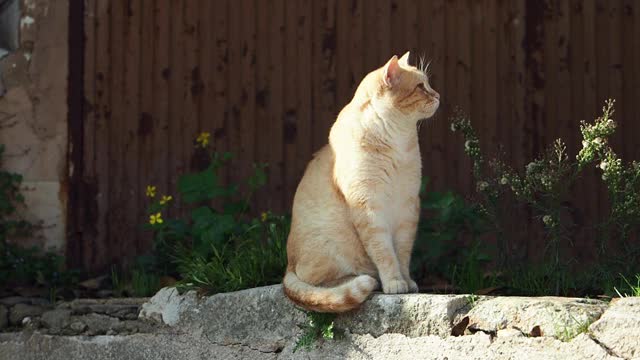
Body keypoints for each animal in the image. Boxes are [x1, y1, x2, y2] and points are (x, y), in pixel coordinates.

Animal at [284, 51, 440, 312]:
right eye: (421, 87)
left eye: (428, 84)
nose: (438, 95)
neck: (398, 140)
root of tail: (288, 264)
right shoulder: (368, 209)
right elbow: (385, 252)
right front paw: (394, 282)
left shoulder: (407, 208)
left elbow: (402, 253)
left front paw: (406, 281)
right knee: (322, 282)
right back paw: (369, 280)